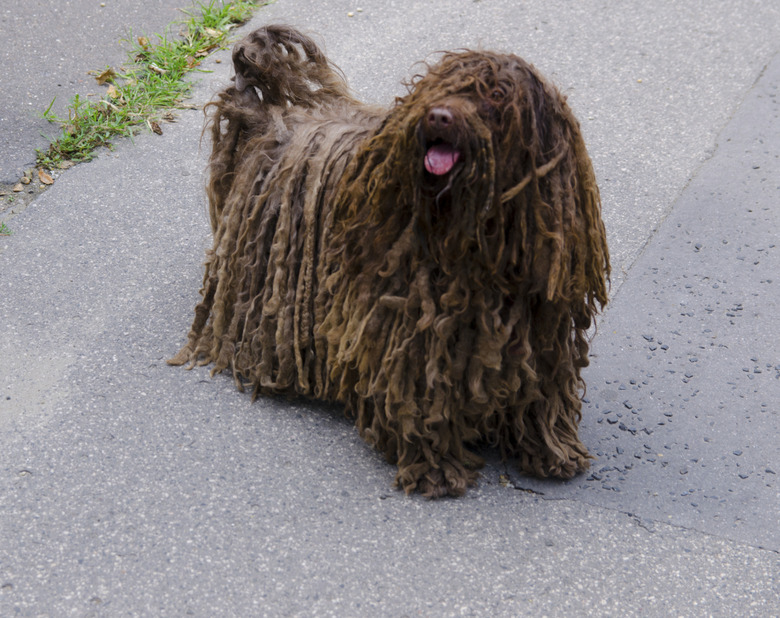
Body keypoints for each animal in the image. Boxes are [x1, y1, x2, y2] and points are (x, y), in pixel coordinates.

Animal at [171, 25, 608, 496]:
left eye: (495, 95)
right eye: (440, 87)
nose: (439, 117)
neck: (471, 235)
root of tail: (268, 114)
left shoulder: (537, 326)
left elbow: (540, 391)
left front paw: (551, 449)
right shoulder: (409, 331)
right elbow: (419, 396)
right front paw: (435, 467)